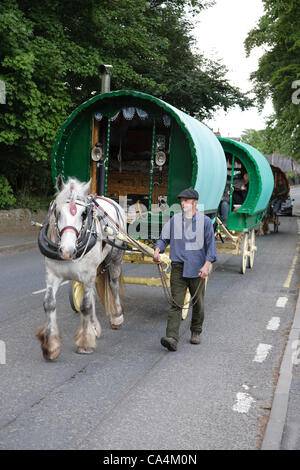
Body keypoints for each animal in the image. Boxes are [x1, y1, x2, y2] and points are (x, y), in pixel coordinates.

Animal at [37, 176, 126, 360]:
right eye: (57, 212)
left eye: (83, 214)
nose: (67, 251)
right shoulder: (52, 275)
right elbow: (49, 304)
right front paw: (51, 345)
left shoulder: (87, 274)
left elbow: (85, 306)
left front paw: (85, 342)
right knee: (91, 293)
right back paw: (94, 326)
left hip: (115, 259)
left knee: (113, 284)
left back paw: (117, 317)